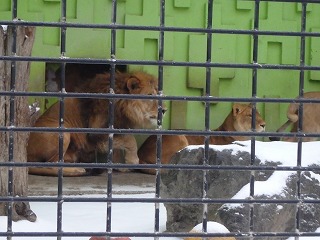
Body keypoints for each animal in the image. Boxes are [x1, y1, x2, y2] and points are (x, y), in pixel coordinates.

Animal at [27, 71, 165, 176]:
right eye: (150, 95)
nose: (164, 110)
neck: (123, 106)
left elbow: (118, 144)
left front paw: (119, 165)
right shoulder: (96, 131)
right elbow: (129, 139)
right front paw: (132, 160)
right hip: (63, 131)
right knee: (51, 165)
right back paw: (77, 170)